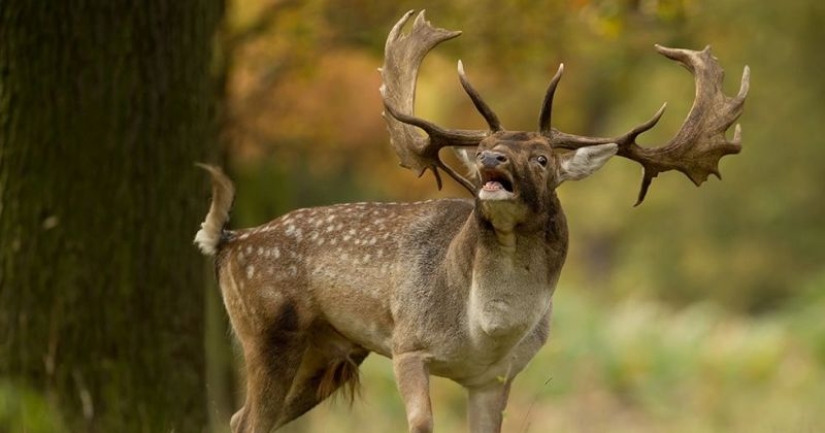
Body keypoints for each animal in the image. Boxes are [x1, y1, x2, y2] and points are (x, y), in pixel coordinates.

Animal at [195, 10, 749, 433]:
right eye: (485, 144)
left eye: (543, 158)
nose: (491, 160)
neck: (485, 327)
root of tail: (228, 241)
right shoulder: (408, 344)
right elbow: (420, 424)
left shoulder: (495, 377)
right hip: (267, 330)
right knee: (249, 420)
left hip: (328, 353)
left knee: (243, 418)